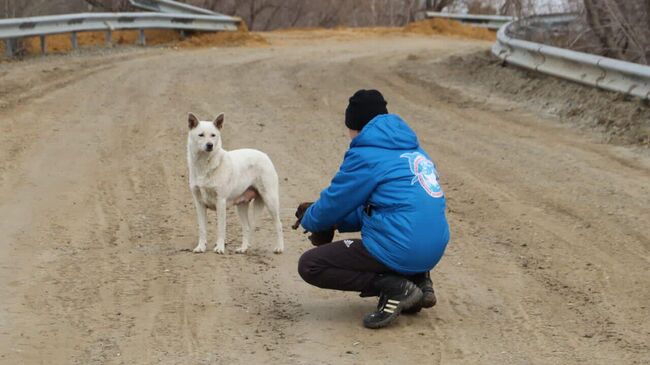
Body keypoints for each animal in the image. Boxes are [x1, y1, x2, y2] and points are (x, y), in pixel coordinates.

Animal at [184, 113, 282, 253]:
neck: (204, 164)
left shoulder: (221, 202)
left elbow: (221, 228)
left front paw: (219, 248)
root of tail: (264, 155)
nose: (210, 145)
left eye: (213, 135)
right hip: (241, 206)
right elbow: (202, 229)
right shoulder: (199, 204)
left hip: (270, 200)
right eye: (201, 135)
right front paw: (201, 247)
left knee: (278, 224)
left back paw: (279, 247)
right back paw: (243, 249)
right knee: (247, 227)